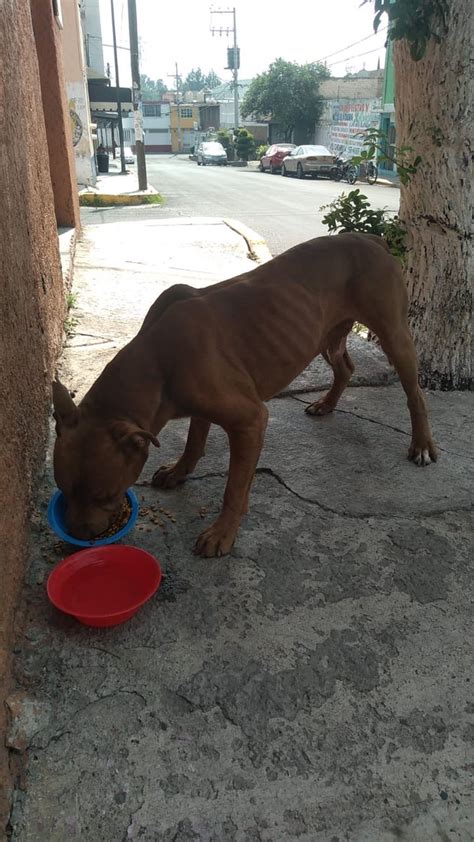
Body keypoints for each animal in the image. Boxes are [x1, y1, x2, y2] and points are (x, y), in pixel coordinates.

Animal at [52, 233, 436, 556]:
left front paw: (222, 533)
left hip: (394, 335)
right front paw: (179, 470)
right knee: (345, 368)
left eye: (106, 495)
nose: (77, 539)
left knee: (415, 393)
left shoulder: (250, 421)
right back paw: (327, 404)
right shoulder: (200, 405)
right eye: (64, 489)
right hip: (325, 333)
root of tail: (370, 238)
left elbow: (234, 487)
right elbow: (195, 439)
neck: (155, 361)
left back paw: (421, 445)